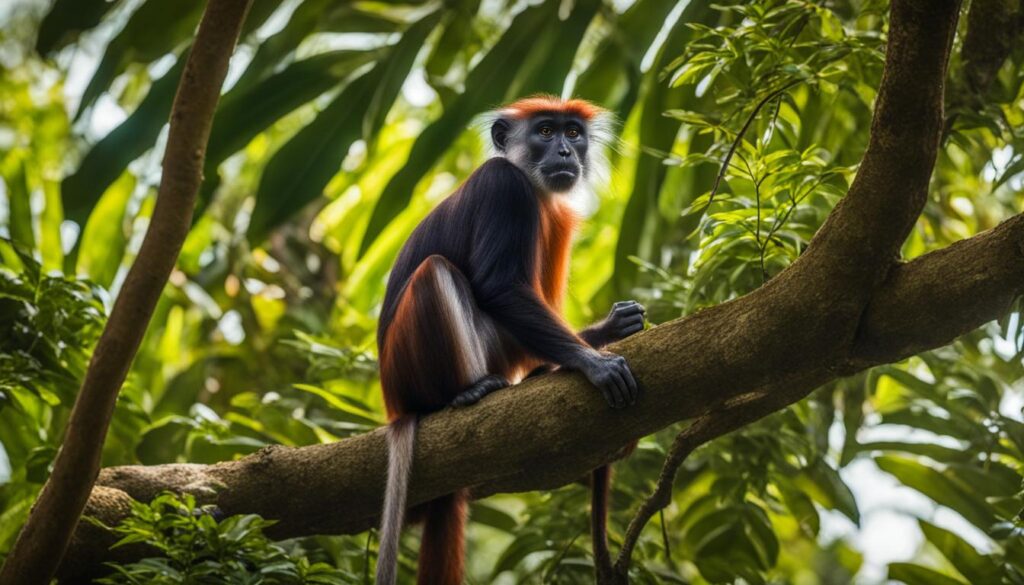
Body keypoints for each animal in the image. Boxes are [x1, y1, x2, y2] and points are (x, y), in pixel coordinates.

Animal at [376, 97, 647, 585]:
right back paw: (468, 392)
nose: (565, 152)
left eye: (573, 133)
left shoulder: (557, 215)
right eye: (545, 131)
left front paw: (609, 331)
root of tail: (395, 404)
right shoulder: (503, 185)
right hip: (411, 365)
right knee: (436, 270)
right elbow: (499, 287)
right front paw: (592, 362)